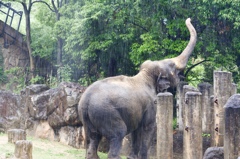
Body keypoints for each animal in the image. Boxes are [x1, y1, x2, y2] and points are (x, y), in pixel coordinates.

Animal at [79, 18, 197, 158]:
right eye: (173, 66)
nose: (190, 19)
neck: (146, 75)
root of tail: (86, 100)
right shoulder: (151, 104)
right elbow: (148, 127)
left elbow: (136, 131)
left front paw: (132, 157)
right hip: (105, 113)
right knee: (119, 133)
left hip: (87, 118)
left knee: (93, 138)